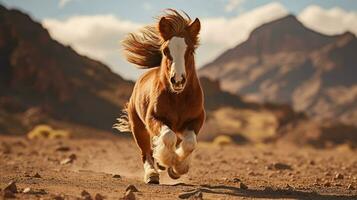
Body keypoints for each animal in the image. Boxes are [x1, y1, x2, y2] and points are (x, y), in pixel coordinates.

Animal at [114, 9, 203, 184]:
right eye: (166, 51)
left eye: (190, 51)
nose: (178, 80)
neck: (178, 98)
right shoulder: (153, 118)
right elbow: (168, 137)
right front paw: (169, 160)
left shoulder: (196, 120)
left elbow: (190, 143)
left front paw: (178, 168)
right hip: (138, 128)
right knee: (145, 151)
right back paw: (152, 174)